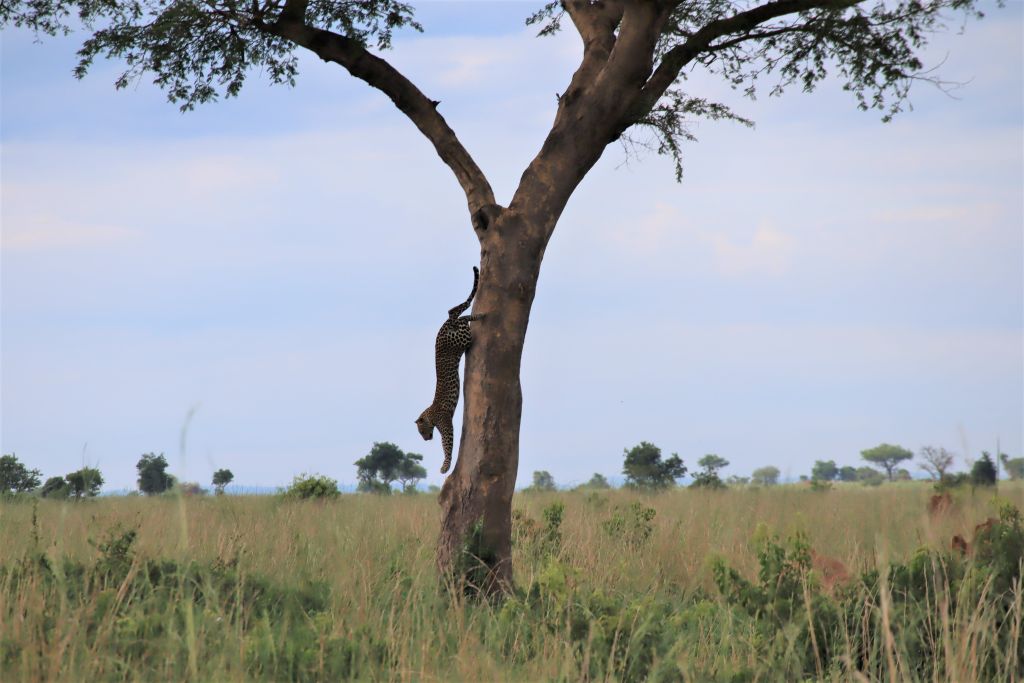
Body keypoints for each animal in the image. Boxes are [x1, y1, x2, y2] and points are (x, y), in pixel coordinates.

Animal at [413, 268, 481, 475]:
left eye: (421, 431)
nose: (426, 439)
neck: (430, 414)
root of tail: (443, 327)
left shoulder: (446, 424)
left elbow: (447, 446)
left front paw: (445, 467)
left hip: (460, 340)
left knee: (454, 313)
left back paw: (478, 316)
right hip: (459, 332)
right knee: (457, 315)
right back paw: (476, 316)